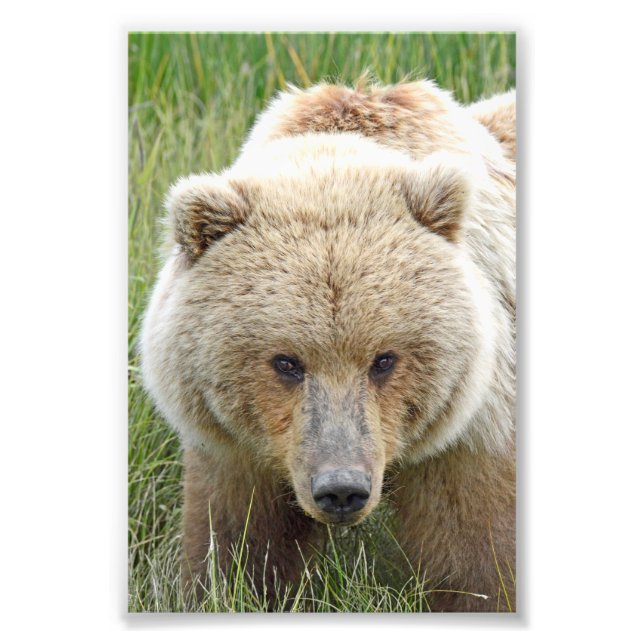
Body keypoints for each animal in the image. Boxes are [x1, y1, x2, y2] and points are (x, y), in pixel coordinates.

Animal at [140, 78, 516, 612]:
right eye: (286, 362)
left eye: (384, 359)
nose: (341, 489)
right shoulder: (239, 450)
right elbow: (238, 542)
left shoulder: (474, 430)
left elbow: (478, 558)